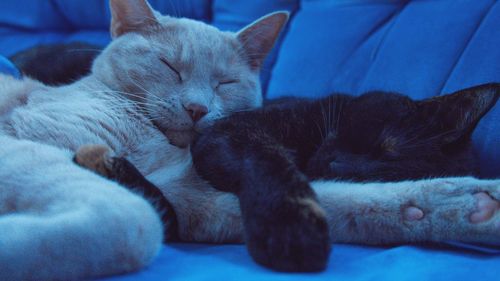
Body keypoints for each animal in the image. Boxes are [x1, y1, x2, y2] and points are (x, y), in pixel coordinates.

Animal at [0, 0, 500, 278]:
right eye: (170, 68)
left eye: (224, 83)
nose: (197, 109)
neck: (153, 145)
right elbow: (127, 223)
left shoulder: (199, 196)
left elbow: (348, 203)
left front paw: (474, 208)